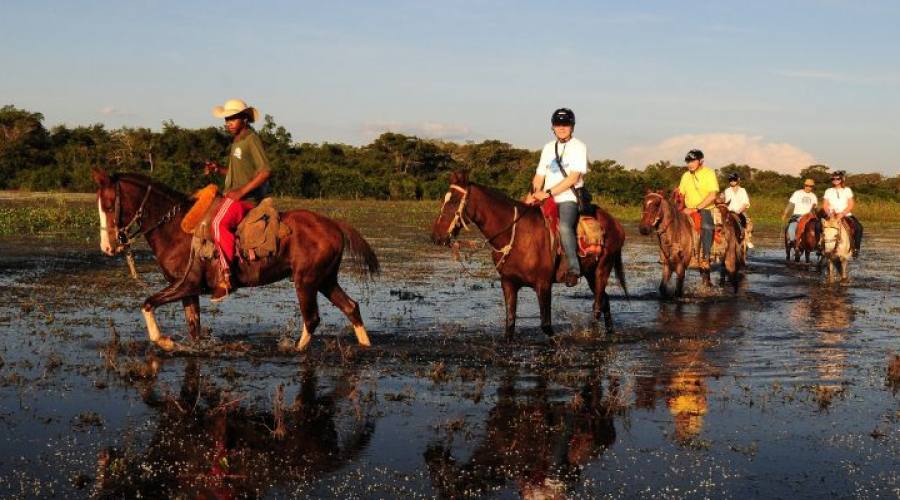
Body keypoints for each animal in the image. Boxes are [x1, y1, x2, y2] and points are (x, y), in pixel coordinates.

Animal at [94, 170, 380, 354]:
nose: (107, 247)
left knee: (312, 319)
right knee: (351, 308)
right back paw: (366, 346)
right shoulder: (188, 291)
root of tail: (335, 225)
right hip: (325, 280)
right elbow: (193, 328)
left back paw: (295, 351)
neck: (175, 228)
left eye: (108, 205)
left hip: (306, 282)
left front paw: (164, 341)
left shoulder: (186, 285)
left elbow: (147, 303)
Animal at [428, 170, 624, 338]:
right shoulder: (508, 283)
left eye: (454, 201)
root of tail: (614, 222)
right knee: (605, 300)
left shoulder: (543, 285)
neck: (516, 235)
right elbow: (510, 324)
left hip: (603, 269)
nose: (436, 236)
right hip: (590, 273)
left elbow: (546, 325)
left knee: (597, 305)